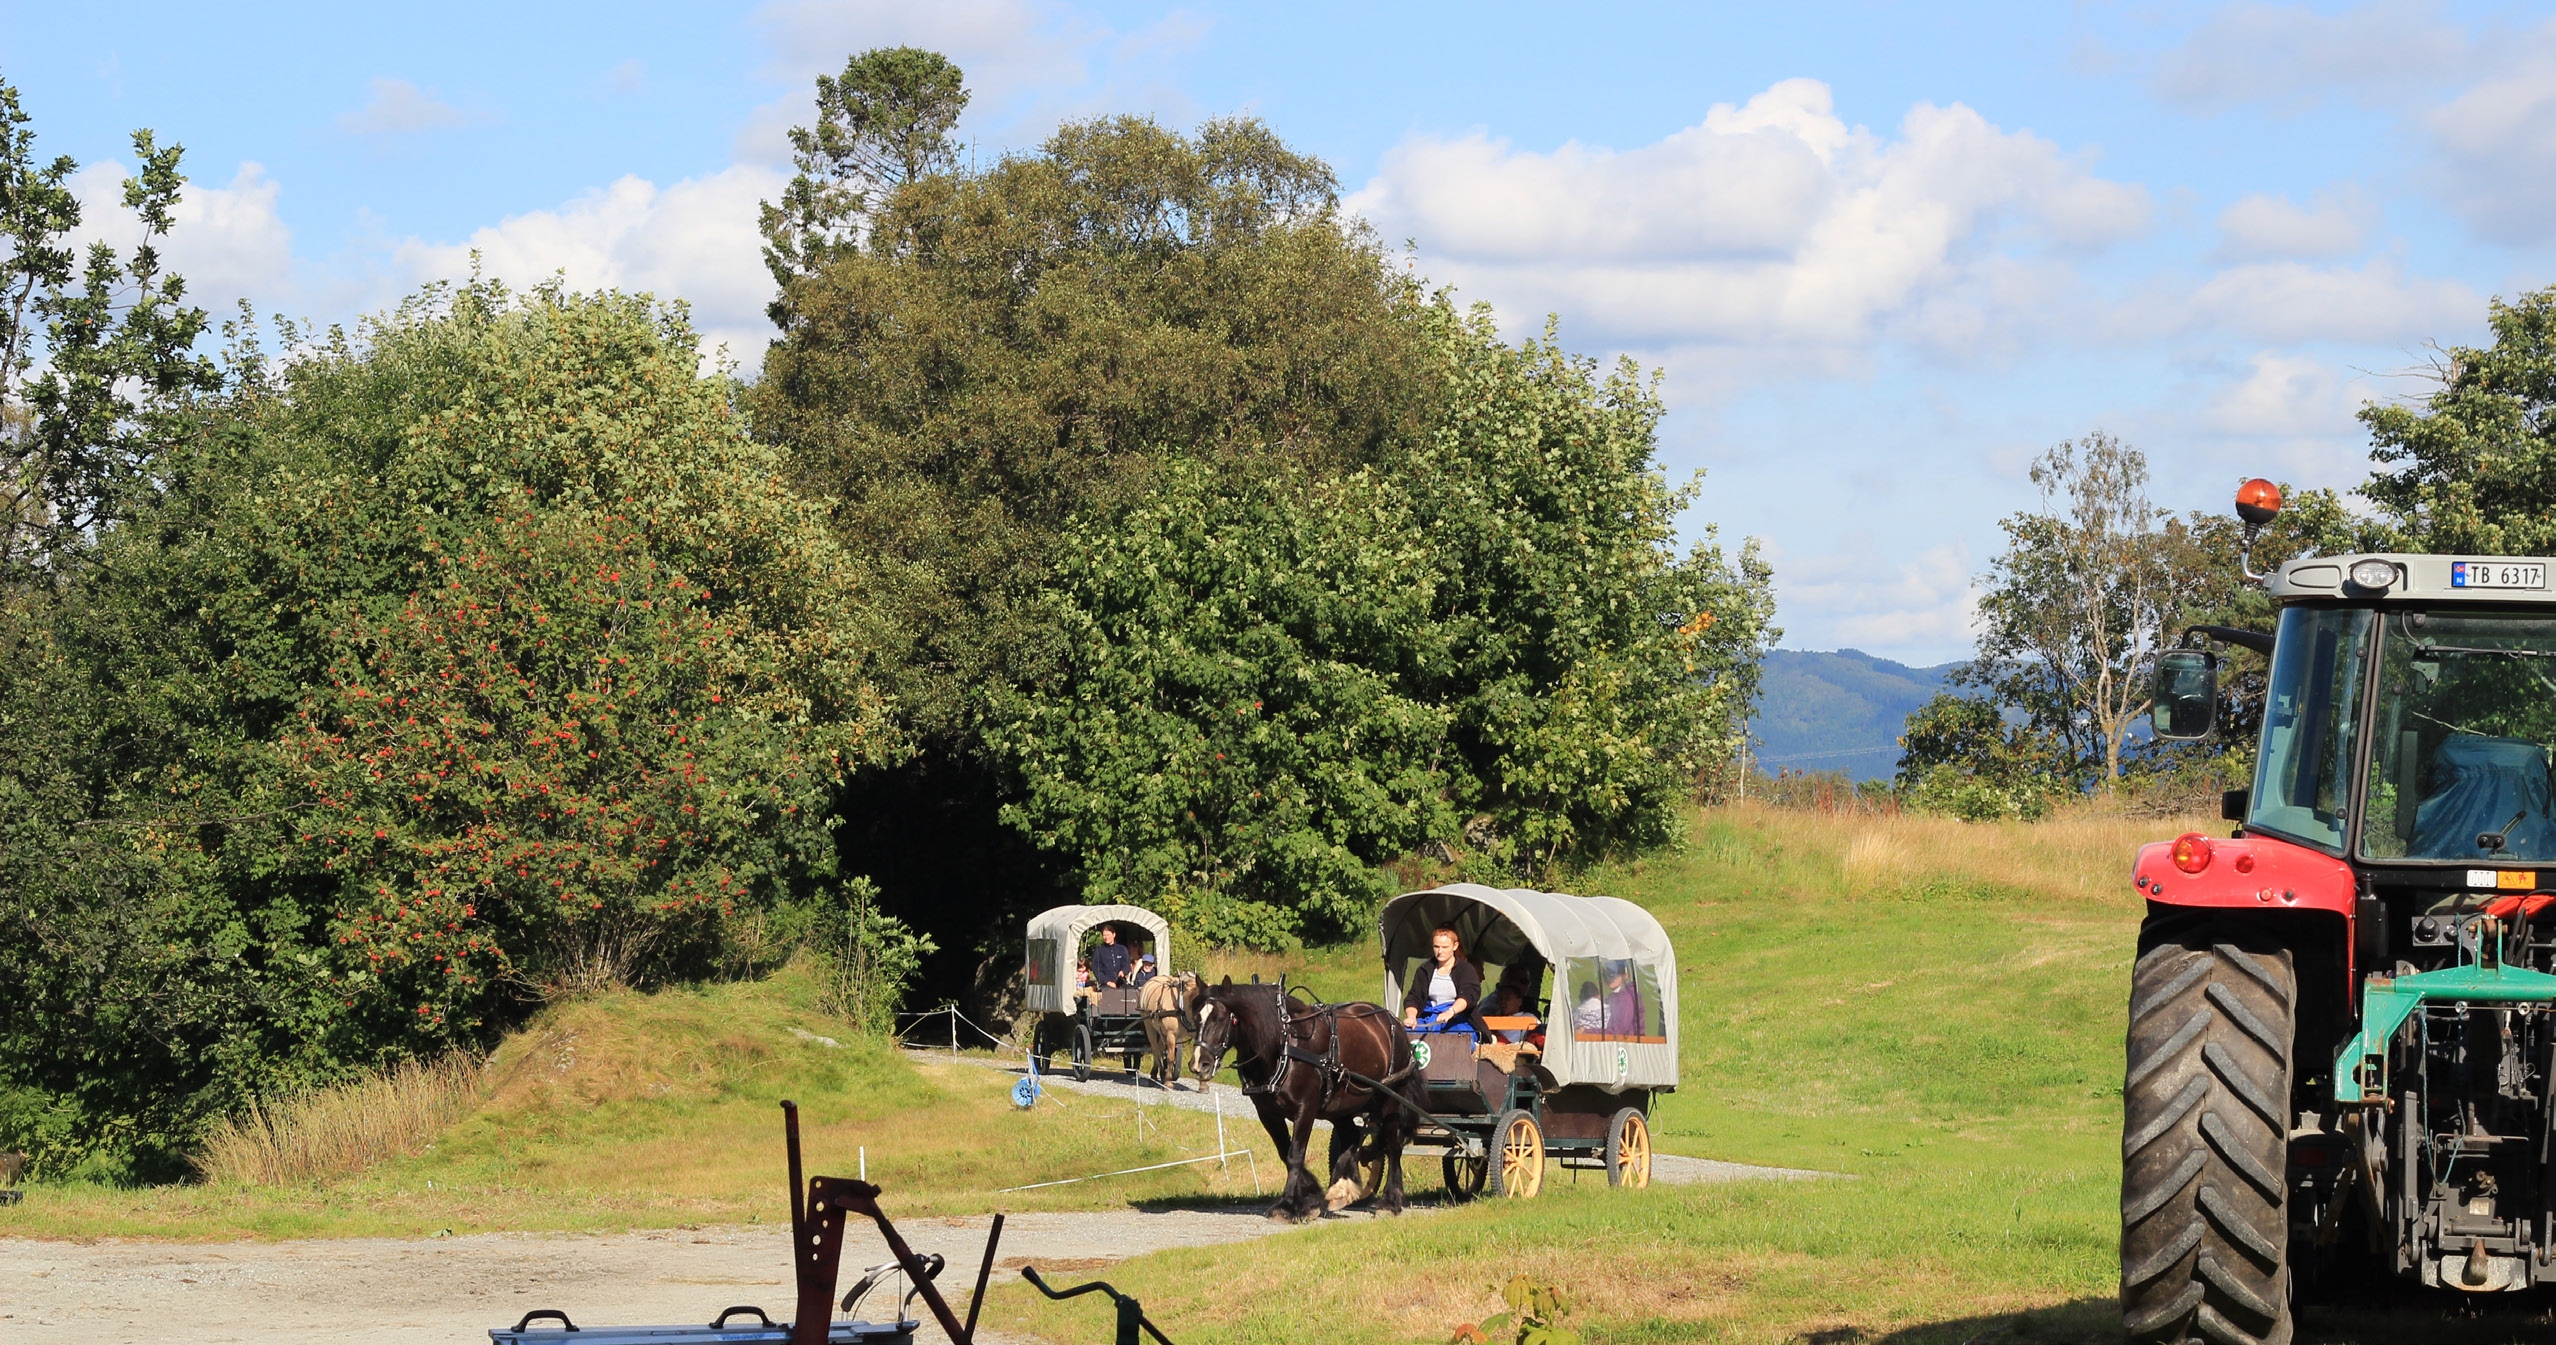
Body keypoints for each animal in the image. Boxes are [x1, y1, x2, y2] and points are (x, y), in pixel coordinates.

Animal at [1191, 981, 1431, 1222]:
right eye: (1195, 1018)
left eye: (1220, 1018)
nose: (1198, 1064)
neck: (1283, 1045)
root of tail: (1393, 1020)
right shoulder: (1267, 1112)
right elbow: (1284, 1152)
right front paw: (1309, 1197)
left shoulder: (1305, 1108)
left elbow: (1295, 1155)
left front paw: (1287, 1205)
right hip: (1342, 1106)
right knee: (1353, 1137)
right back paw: (1341, 1188)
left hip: (1391, 1098)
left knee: (1393, 1144)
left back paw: (1390, 1201)